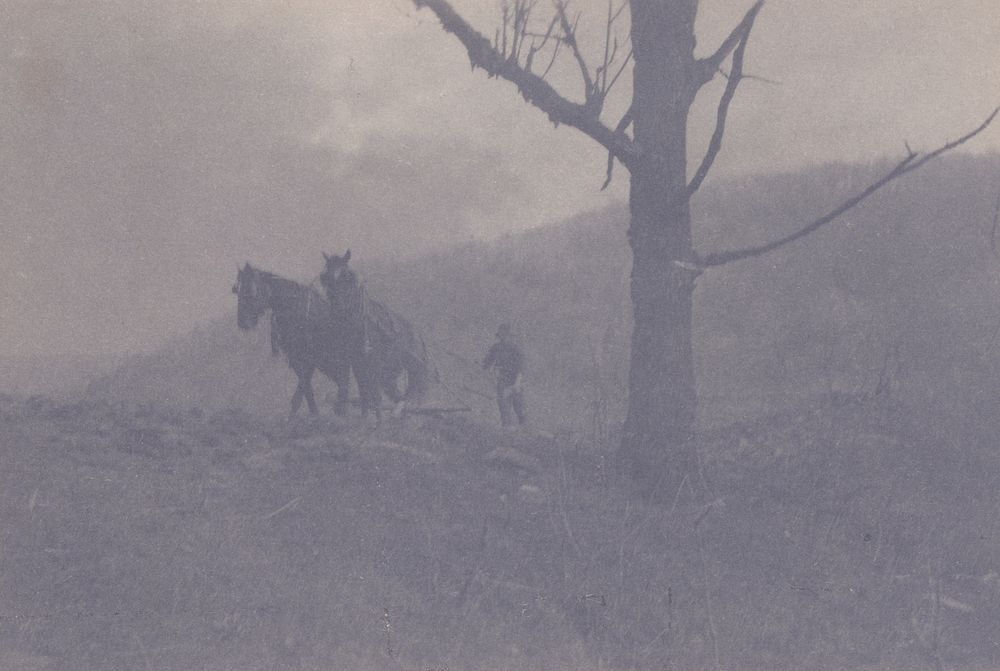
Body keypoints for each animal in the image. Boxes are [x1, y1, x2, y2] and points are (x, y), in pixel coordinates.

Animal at [233, 264, 352, 418]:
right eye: (236, 290)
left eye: (250, 290)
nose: (243, 322)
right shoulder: (296, 359)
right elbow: (306, 389)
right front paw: (312, 415)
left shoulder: (309, 359)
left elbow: (302, 389)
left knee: (345, 380)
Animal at [318, 251, 432, 420]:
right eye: (325, 277)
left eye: (347, 276)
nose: (336, 307)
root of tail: (418, 335)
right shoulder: (354, 360)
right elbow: (362, 390)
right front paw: (364, 416)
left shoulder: (373, 360)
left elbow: (373, 392)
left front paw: (377, 418)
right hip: (390, 372)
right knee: (399, 393)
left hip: (413, 367)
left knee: (414, 392)